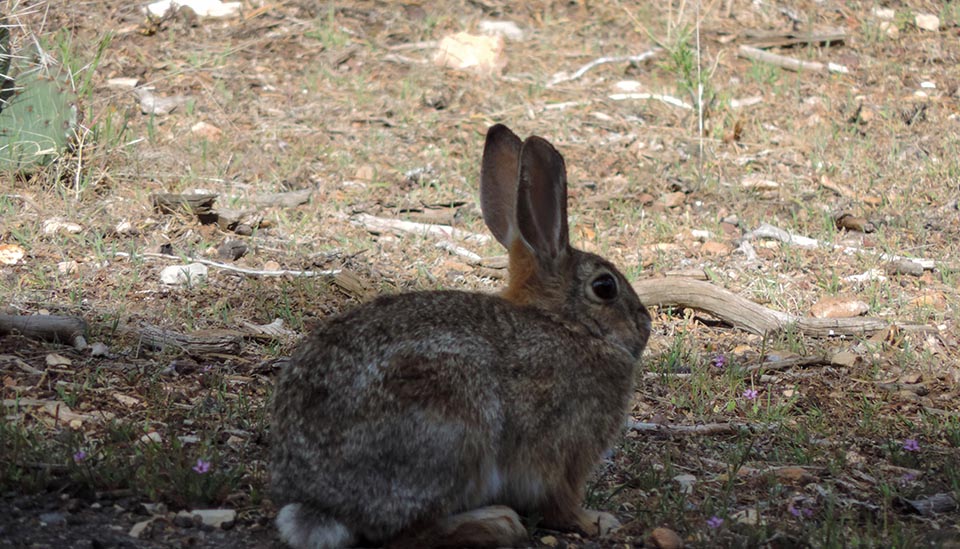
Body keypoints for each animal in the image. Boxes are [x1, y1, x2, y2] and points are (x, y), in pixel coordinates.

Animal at [270, 124, 652, 548]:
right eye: (605, 287)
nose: (646, 324)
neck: (568, 325)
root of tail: (324, 501)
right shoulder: (566, 451)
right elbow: (561, 503)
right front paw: (598, 520)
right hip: (453, 427)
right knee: (410, 534)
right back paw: (496, 523)